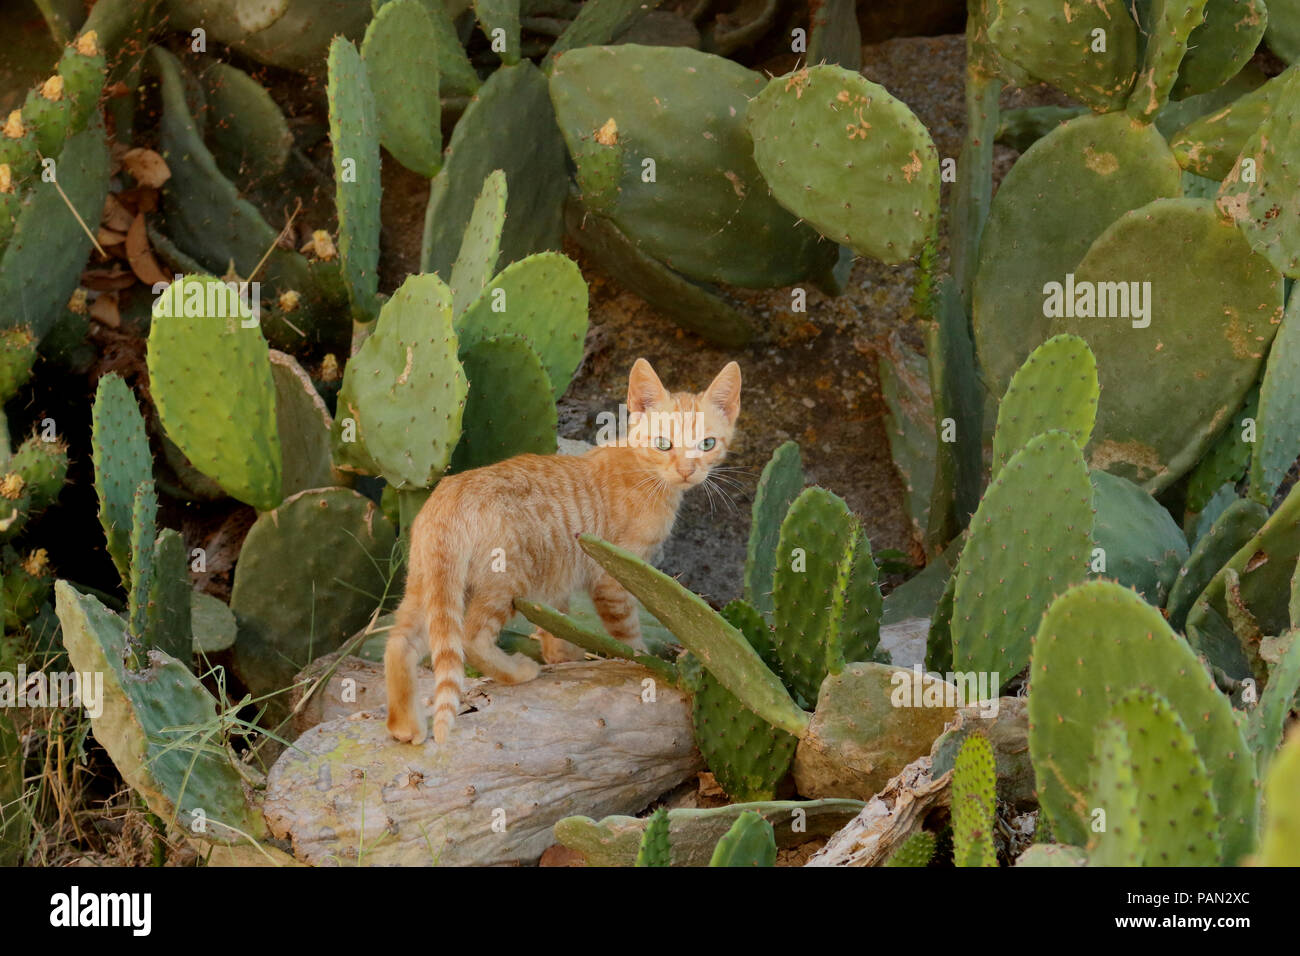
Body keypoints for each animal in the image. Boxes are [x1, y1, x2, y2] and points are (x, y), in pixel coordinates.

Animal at [382, 361, 743, 749]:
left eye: (707, 444)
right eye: (663, 444)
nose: (687, 471)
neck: (645, 471)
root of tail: (449, 495)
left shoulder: (558, 583)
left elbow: (557, 622)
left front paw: (565, 656)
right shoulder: (616, 574)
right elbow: (627, 636)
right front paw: (642, 660)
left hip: (430, 583)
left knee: (399, 641)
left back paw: (403, 725)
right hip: (506, 580)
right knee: (470, 637)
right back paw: (517, 671)